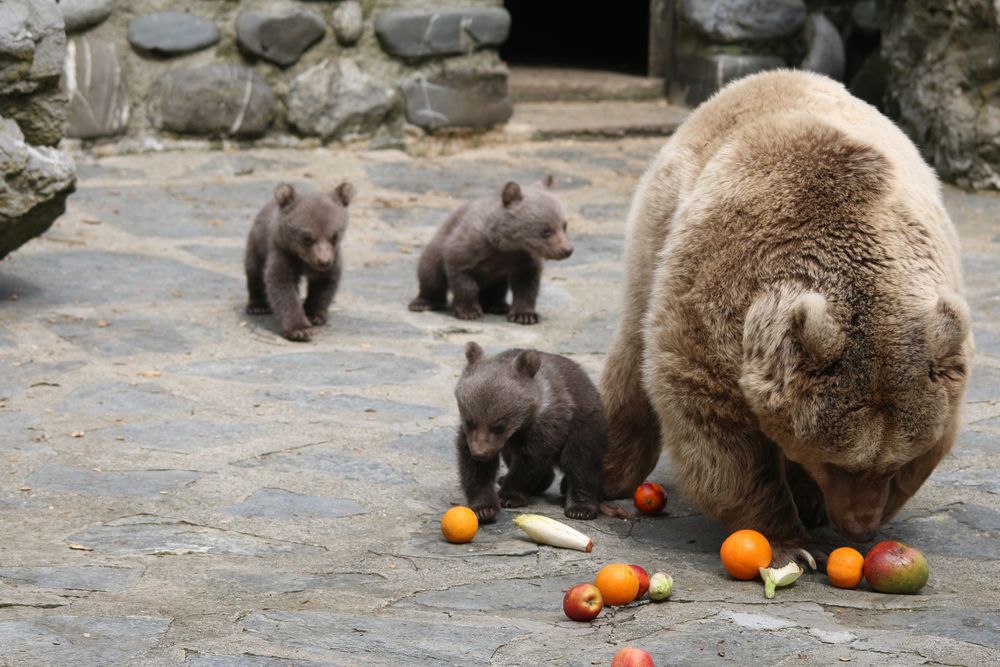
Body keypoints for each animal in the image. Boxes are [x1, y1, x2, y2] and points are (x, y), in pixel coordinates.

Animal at [596, 70, 972, 568]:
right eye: (839, 463)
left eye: (896, 464)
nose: (861, 526)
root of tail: (768, 76)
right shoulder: (719, 300)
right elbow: (712, 419)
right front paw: (787, 542)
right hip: (656, 229)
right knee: (632, 354)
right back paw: (610, 474)